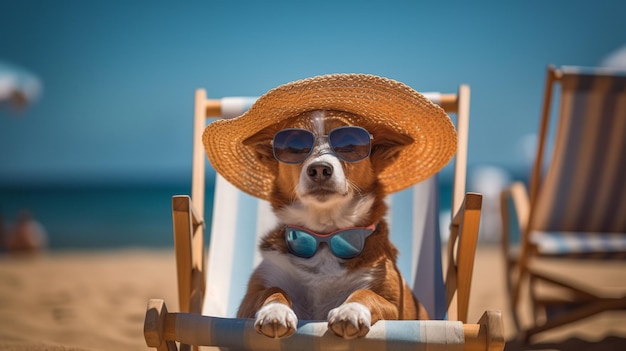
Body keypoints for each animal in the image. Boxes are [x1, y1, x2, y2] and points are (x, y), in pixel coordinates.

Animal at [234, 108, 428, 340]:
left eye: (349, 144)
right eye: (294, 147)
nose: (319, 169)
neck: (324, 237)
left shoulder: (398, 309)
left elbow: (366, 293)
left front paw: (350, 310)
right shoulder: (250, 299)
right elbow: (271, 291)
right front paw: (275, 311)